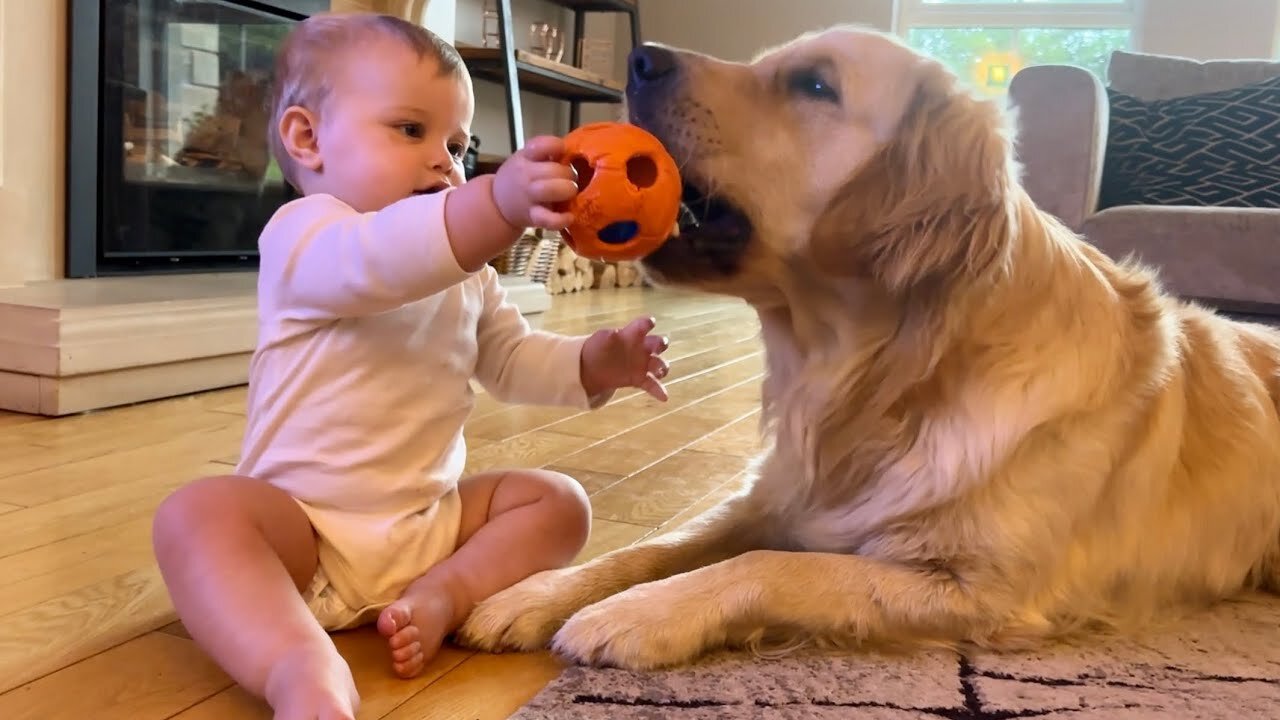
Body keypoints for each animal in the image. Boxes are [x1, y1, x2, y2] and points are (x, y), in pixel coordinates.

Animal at [455, 25, 1280, 671]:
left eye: (814, 84)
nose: (638, 60)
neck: (880, 382)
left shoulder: (980, 588)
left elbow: (771, 567)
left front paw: (635, 614)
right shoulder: (773, 496)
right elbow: (657, 545)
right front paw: (537, 593)